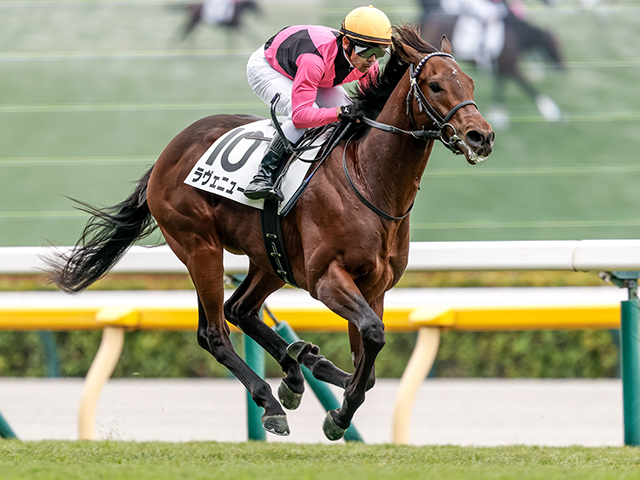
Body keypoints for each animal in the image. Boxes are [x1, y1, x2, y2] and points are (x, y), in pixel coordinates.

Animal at [45, 25, 494, 441]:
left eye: (470, 83)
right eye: (435, 84)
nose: (481, 136)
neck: (369, 179)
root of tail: (166, 155)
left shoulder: (374, 287)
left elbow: (367, 361)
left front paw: (337, 394)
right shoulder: (326, 278)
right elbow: (372, 334)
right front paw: (338, 416)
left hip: (271, 257)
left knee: (239, 309)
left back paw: (302, 370)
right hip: (200, 247)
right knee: (214, 332)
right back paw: (272, 400)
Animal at [421, 6, 565, 125]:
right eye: (554, 46)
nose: (563, 68)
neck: (515, 34)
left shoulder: (503, 68)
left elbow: (500, 85)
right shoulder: (511, 68)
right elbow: (528, 88)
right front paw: (554, 113)